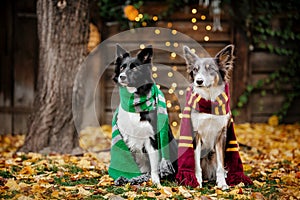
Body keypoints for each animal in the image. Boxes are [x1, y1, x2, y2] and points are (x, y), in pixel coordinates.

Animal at [112, 44, 178, 185]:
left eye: (135, 68)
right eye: (122, 67)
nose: (122, 76)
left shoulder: (152, 138)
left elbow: (154, 166)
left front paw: (156, 183)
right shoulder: (126, 137)